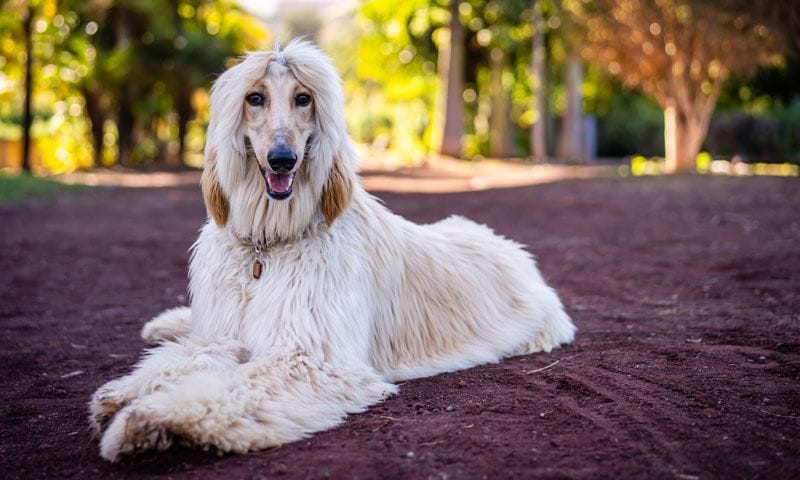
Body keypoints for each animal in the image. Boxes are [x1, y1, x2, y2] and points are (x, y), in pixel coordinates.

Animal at [89, 41, 576, 462]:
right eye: (254, 98)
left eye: (303, 98)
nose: (282, 159)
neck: (268, 245)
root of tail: (513, 249)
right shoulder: (225, 332)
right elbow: (190, 355)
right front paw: (126, 392)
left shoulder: (310, 359)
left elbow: (229, 387)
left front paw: (146, 419)